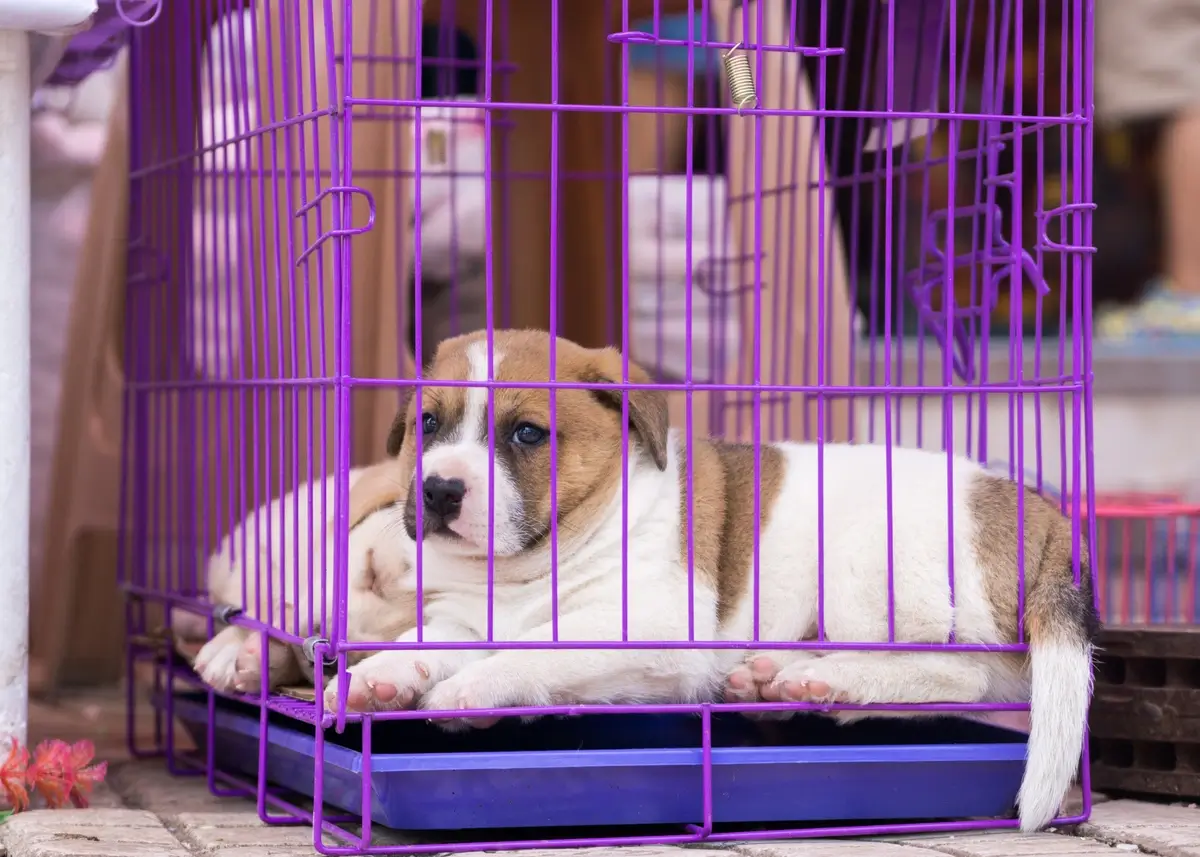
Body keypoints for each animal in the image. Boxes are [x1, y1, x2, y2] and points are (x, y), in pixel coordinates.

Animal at [336, 326, 1099, 825]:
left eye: (526, 433)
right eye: (428, 424)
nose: (439, 490)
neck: (531, 563)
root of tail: (1043, 514)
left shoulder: (651, 628)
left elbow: (534, 650)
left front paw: (473, 690)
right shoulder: (464, 618)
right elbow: (426, 642)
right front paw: (375, 676)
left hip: (869, 565)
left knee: (954, 672)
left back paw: (822, 680)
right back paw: (779, 677)